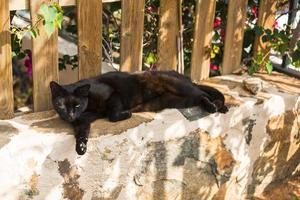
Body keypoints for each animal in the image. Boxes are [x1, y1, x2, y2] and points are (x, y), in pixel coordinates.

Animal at [49, 70, 227, 155]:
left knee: (202, 93)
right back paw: (214, 106)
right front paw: (80, 148)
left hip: (181, 87)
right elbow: (82, 134)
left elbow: (112, 115)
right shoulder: (81, 122)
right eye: (61, 105)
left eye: (77, 105)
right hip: (177, 100)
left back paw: (217, 107)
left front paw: (126, 114)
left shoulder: (114, 94)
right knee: (199, 97)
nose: (70, 115)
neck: (88, 108)